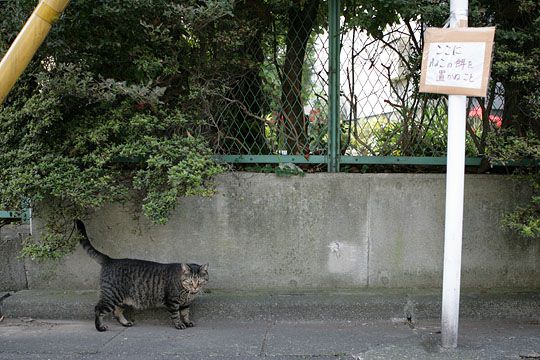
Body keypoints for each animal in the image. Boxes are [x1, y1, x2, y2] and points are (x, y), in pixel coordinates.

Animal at [76, 218, 209, 330]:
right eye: (190, 281)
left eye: (199, 281)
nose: (195, 287)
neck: (187, 292)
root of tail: (110, 260)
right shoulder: (172, 302)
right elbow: (176, 315)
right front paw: (179, 324)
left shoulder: (186, 304)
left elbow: (185, 313)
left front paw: (187, 322)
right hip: (111, 296)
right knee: (98, 309)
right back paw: (100, 327)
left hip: (122, 299)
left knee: (116, 311)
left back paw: (125, 323)